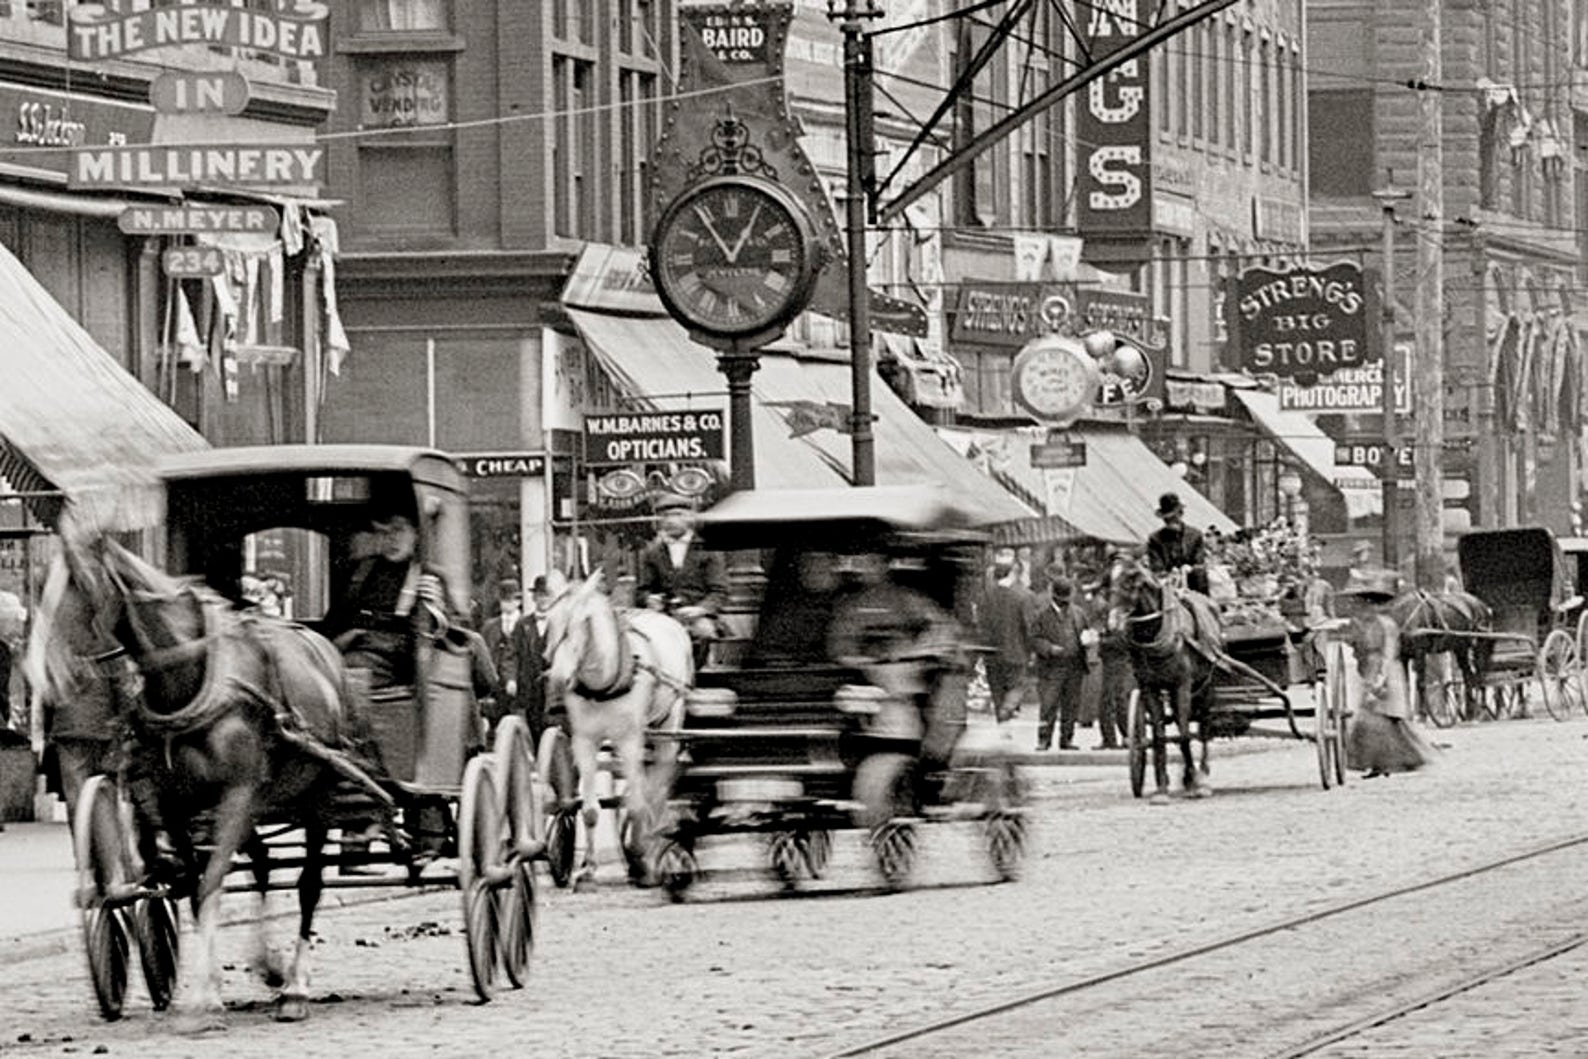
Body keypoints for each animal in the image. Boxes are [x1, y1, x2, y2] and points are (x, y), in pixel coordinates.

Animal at [39, 530, 374, 1028]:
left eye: (80, 583)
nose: (45, 678)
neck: (189, 679)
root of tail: (323, 648)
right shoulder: (175, 804)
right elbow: (198, 888)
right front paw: (210, 989)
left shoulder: (237, 791)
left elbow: (214, 880)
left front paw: (203, 996)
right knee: (262, 862)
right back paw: (270, 967)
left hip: (316, 794)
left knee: (309, 883)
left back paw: (294, 987)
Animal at [543, 571, 692, 889]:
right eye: (548, 621)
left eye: (583, 622)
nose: (559, 679)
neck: (604, 680)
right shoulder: (585, 740)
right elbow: (589, 808)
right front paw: (587, 869)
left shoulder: (629, 739)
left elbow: (637, 800)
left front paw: (643, 859)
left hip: (669, 726)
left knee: (656, 788)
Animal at [1111, 558, 1219, 800]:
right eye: (1108, 582)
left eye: (1130, 582)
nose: (1112, 623)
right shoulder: (1149, 687)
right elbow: (1159, 736)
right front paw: (1162, 786)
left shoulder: (1182, 685)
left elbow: (1185, 734)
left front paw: (1193, 780)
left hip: (1205, 685)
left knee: (1204, 727)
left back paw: (1203, 774)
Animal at [1384, 593, 1492, 723]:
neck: (1403, 614)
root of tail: (1480, 604)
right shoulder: (1403, 657)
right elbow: (1406, 685)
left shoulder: (1420, 653)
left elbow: (1420, 684)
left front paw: (1422, 715)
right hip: (1460, 648)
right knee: (1468, 676)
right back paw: (1469, 713)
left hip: (1480, 644)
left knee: (1480, 675)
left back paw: (1480, 709)